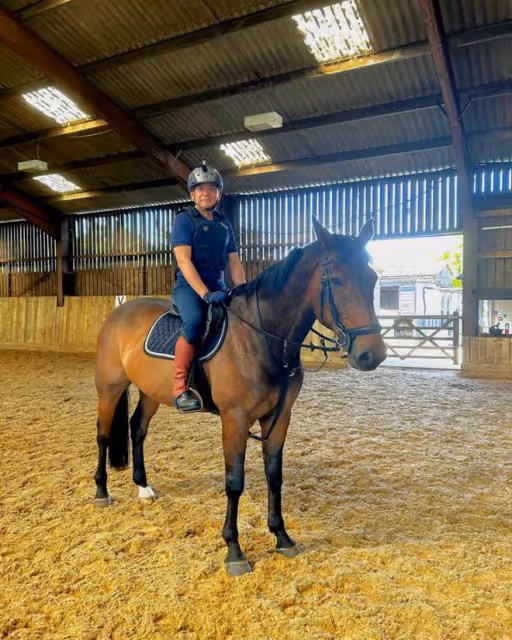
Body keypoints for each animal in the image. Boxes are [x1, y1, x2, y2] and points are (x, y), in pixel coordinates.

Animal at [94, 217, 387, 576]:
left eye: (372, 278)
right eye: (337, 280)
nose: (372, 355)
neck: (262, 338)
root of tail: (120, 312)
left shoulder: (279, 417)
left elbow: (274, 475)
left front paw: (282, 537)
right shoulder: (235, 420)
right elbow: (234, 482)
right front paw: (234, 550)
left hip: (151, 392)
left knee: (137, 428)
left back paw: (143, 487)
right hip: (109, 388)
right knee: (103, 434)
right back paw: (101, 491)